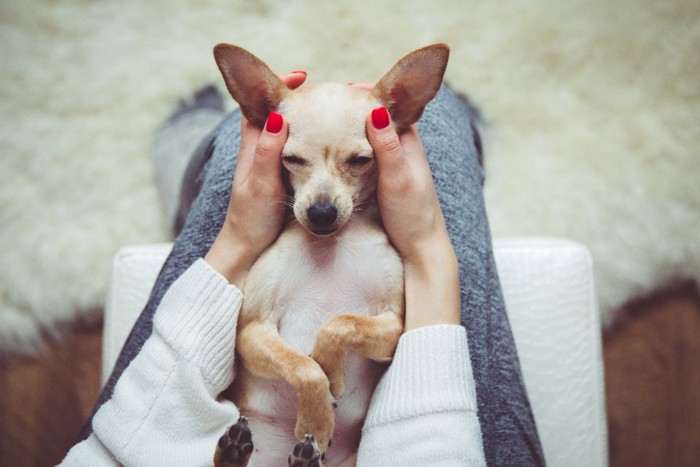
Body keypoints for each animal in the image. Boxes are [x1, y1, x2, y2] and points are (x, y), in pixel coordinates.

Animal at [211, 44, 448, 467]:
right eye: (291, 159)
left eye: (361, 160)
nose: (321, 212)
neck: (331, 245)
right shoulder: (253, 331)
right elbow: (303, 367)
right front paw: (318, 420)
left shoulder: (393, 324)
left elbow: (341, 323)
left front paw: (331, 371)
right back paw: (240, 449)